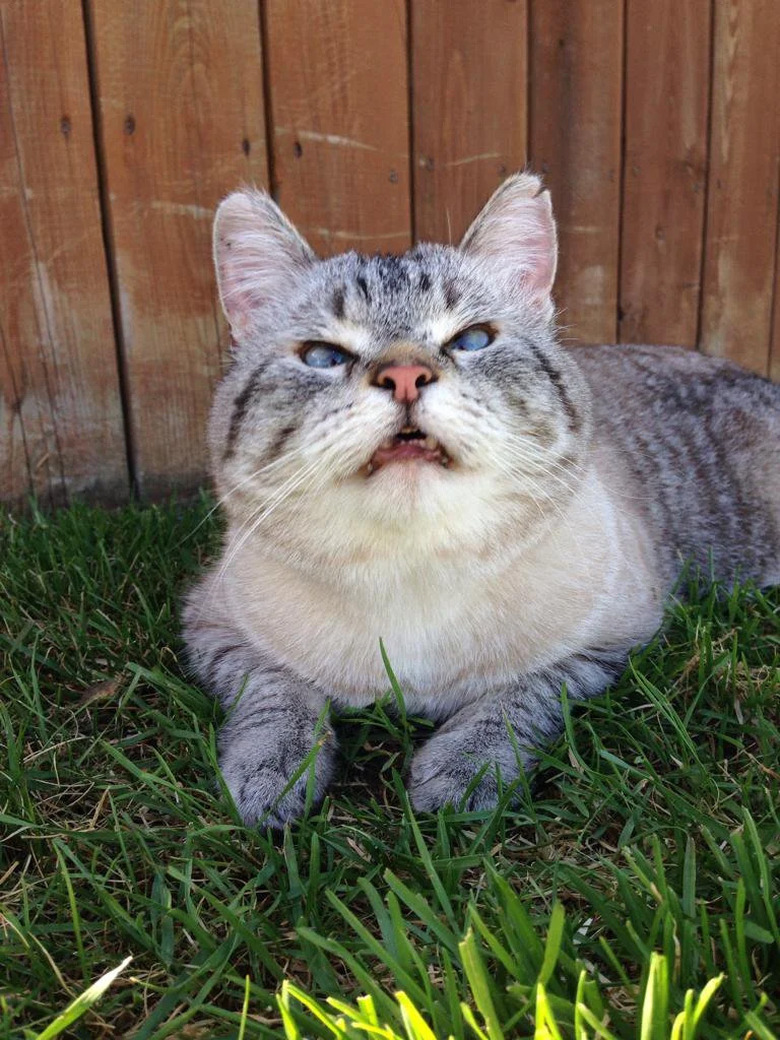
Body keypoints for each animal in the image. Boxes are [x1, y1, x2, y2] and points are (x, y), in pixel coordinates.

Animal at [185, 172, 780, 827]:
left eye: (471, 340)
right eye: (323, 356)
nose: (405, 377)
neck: (409, 574)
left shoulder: (614, 642)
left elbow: (516, 698)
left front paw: (462, 777)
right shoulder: (211, 625)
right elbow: (276, 694)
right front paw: (269, 777)